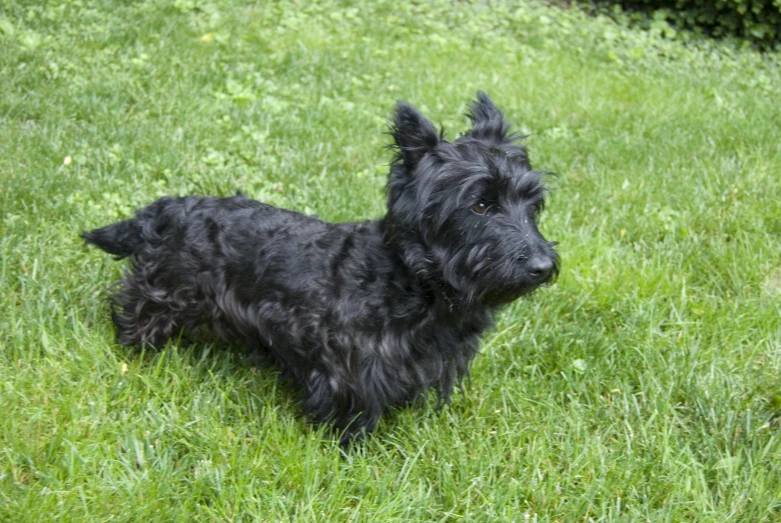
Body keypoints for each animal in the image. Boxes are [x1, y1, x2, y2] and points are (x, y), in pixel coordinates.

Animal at [82, 92, 560, 444]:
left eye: (532, 203)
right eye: (479, 205)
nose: (543, 266)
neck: (414, 281)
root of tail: (170, 209)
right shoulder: (349, 368)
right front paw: (349, 444)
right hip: (168, 289)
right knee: (135, 307)